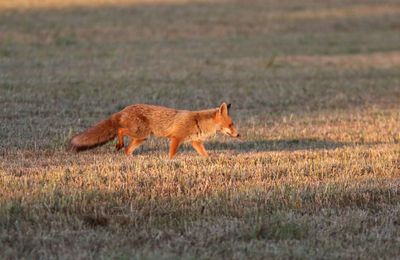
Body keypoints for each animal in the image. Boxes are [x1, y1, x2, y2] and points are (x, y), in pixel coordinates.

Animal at [68, 102, 241, 158]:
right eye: (231, 124)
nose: (239, 134)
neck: (199, 122)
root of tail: (124, 109)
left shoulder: (195, 142)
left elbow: (205, 155)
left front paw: (210, 160)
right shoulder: (176, 138)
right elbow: (171, 155)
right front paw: (170, 162)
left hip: (141, 138)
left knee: (127, 150)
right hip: (140, 133)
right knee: (120, 131)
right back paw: (119, 144)